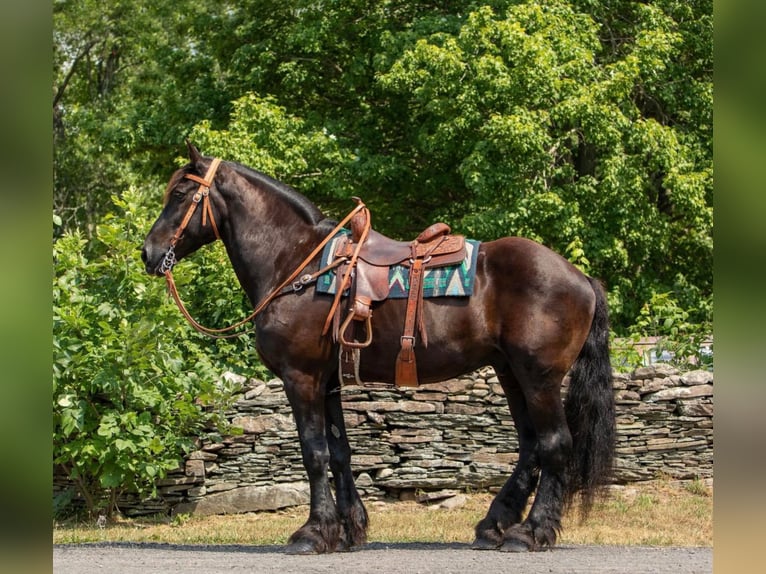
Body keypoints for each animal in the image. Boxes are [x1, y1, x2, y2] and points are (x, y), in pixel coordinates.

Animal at [141, 145, 616, 560]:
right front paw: (348, 529)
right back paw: (495, 526)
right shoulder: (327, 381)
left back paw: (530, 532)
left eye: (180, 195)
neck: (296, 262)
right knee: (531, 446)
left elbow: (313, 452)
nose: (148, 253)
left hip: (538, 378)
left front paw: (313, 533)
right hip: (510, 372)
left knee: (554, 445)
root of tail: (580, 277)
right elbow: (338, 452)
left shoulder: (301, 377)